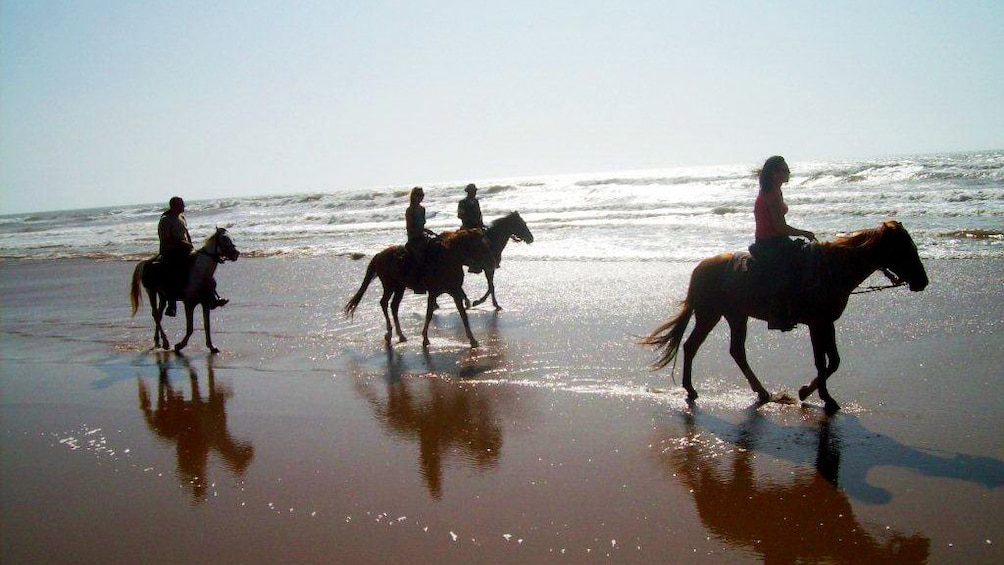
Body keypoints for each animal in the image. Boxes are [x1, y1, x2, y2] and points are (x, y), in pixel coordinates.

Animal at [345, 229, 497, 349]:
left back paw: (400, 335)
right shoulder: (433, 293)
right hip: (389, 286)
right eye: (478, 245)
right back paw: (389, 333)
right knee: (384, 303)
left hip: (400, 287)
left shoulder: (455, 292)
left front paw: (472, 340)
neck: (448, 260)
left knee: (394, 306)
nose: (492, 262)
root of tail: (379, 255)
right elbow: (429, 314)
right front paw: (425, 338)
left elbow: (463, 315)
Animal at [646, 219, 927, 411]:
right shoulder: (817, 323)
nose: (923, 281)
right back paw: (691, 389)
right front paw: (820, 397)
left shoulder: (826, 323)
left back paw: (760, 392)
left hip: (735, 316)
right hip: (709, 314)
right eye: (905, 249)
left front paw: (810, 393)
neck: (831, 269)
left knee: (735, 351)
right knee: (692, 345)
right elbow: (823, 362)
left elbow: (833, 361)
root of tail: (701, 267)